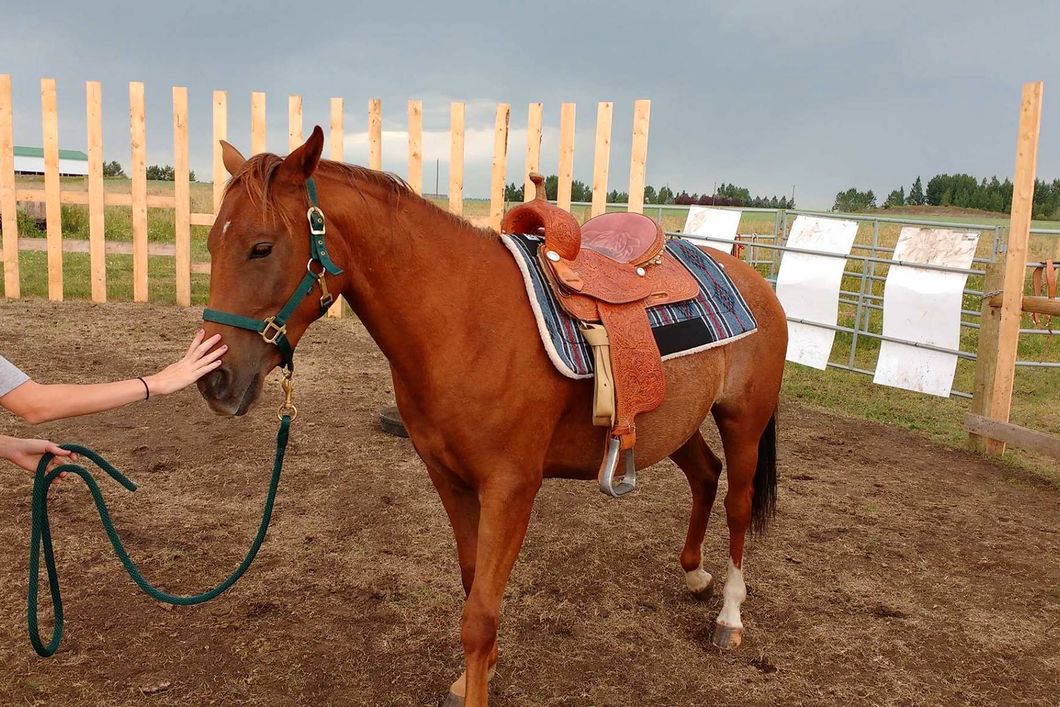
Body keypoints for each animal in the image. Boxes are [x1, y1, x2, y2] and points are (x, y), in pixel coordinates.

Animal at [198, 126, 788, 706]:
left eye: (261, 247)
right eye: (211, 245)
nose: (213, 380)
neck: (465, 321)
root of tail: (751, 277)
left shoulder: (510, 488)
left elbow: (480, 613)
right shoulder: (450, 478)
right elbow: (472, 582)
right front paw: (476, 674)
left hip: (743, 421)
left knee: (736, 504)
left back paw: (729, 616)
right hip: (672, 423)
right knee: (705, 475)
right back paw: (694, 575)